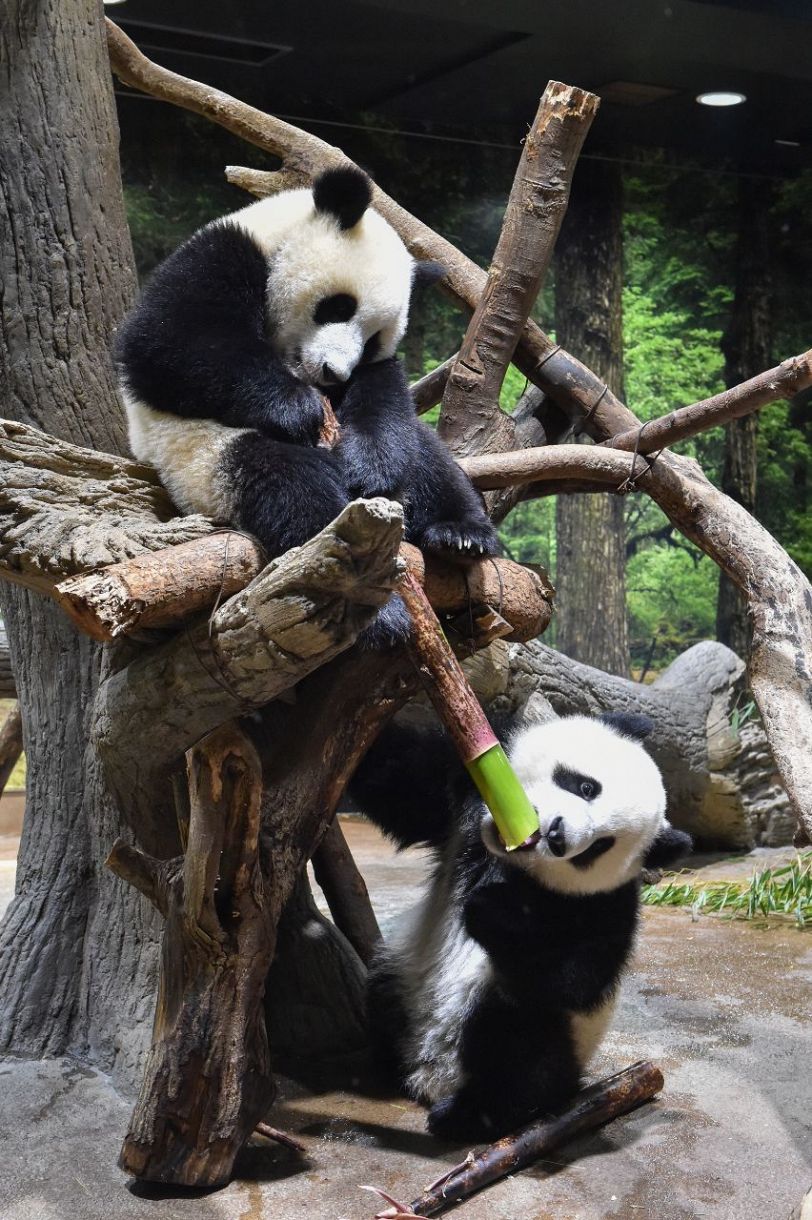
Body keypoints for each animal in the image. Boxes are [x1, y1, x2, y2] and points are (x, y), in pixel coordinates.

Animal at [116, 170, 497, 649]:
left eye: (373, 340)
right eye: (339, 306)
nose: (333, 373)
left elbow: (381, 387)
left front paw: (370, 464)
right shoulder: (221, 254)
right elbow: (164, 343)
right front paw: (296, 407)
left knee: (426, 457)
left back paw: (460, 534)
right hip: (201, 462)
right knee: (292, 486)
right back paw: (373, 608)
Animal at [348, 712, 687, 1137]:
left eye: (599, 846)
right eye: (586, 786)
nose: (558, 835)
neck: (509, 863)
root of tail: (430, 1075)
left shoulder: (604, 905)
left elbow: (577, 978)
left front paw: (491, 911)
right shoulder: (459, 797)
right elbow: (397, 780)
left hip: (551, 1034)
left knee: (521, 1043)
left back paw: (468, 1114)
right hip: (401, 971)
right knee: (382, 990)